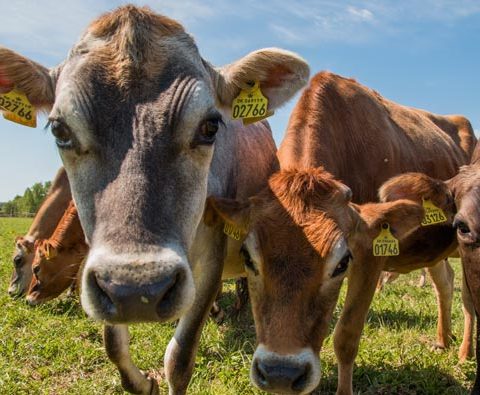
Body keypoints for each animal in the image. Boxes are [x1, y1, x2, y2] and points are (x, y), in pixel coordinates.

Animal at [204, 72, 474, 395]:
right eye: (247, 257)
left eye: (342, 263)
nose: (281, 372)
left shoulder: (370, 254)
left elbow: (345, 337)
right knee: (444, 283)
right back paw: (443, 340)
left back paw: (464, 354)